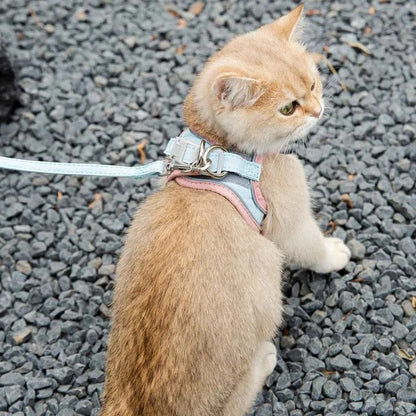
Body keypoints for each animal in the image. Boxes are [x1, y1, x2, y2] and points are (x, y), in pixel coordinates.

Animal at [100, 6, 352, 416]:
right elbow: (312, 248)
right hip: (266, 281)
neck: (220, 151)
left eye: (314, 84)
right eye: (287, 108)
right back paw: (264, 359)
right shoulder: (291, 223)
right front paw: (335, 254)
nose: (317, 111)